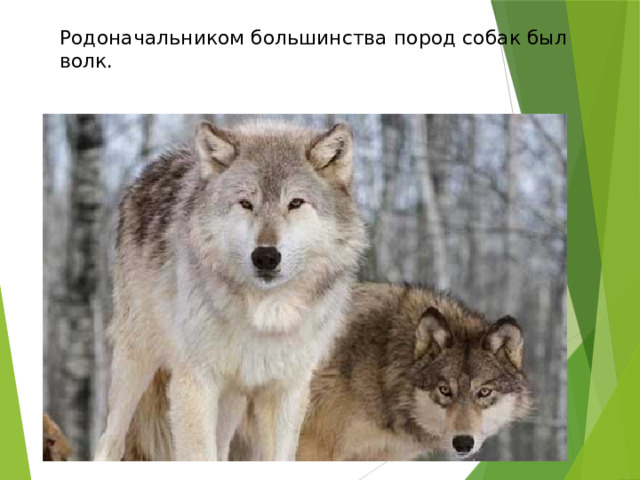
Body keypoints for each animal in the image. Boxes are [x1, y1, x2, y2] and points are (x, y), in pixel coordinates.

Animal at [94, 120, 367, 461]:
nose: (265, 256)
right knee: (109, 440)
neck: (265, 314)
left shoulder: (286, 390)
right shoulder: (195, 382)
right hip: (135, 362)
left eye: (295, 203)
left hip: (232, 398)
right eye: (246, 204)